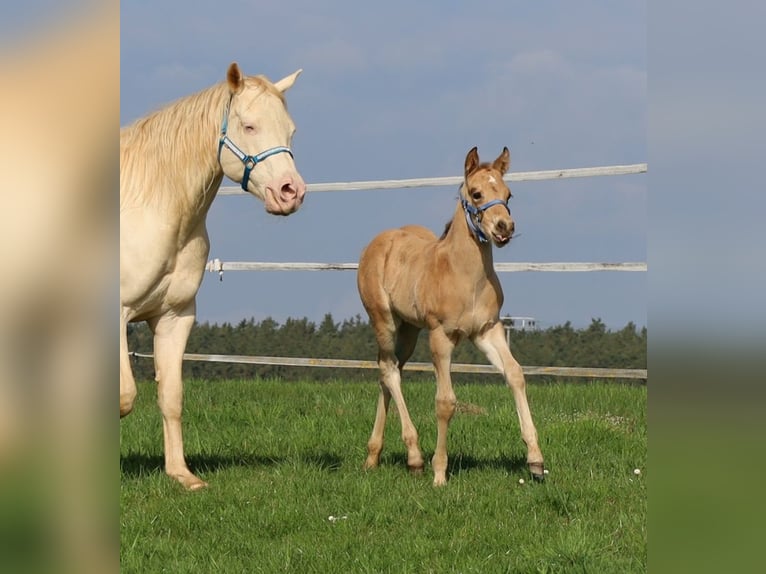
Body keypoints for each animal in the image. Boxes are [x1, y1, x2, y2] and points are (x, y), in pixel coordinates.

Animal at [120, 62, 306, 490]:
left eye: (290, 131)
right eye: (249, 126)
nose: (291, 192)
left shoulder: (174, 317)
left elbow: (171, 397)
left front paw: (183, 476)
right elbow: (123, 397)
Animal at [357, 146, 545, 486]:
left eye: (508, 194)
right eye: (477, 192)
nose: (504, 227)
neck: (465, 276)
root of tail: (379, 241)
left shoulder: (488, 330)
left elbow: (515, 374)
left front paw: (535, 461)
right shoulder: (440, 336)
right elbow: (445, 402)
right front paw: (439, 473)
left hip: (409, 329)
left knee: (388, 371)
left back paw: (375, 456)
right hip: (384, 320)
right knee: (389, 371)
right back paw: (414, 458)